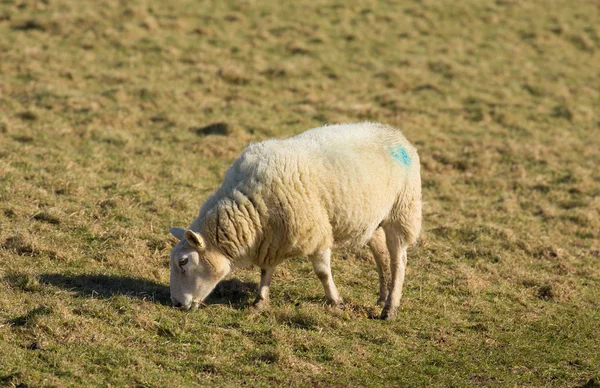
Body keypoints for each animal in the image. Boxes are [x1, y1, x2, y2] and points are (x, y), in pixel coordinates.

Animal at [169, 123, 422, 320]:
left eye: (183, 261)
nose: (177, 304)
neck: (248, 204)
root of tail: (396, 133)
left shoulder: (316, 232)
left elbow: (322, 273)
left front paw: (336, 301)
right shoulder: (270, 238)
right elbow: (266, 270)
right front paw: (260, 301)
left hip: (402, 211)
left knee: (399, 260)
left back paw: (390, 308)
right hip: (372, 219)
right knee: (381, 255)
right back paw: (382, 297)